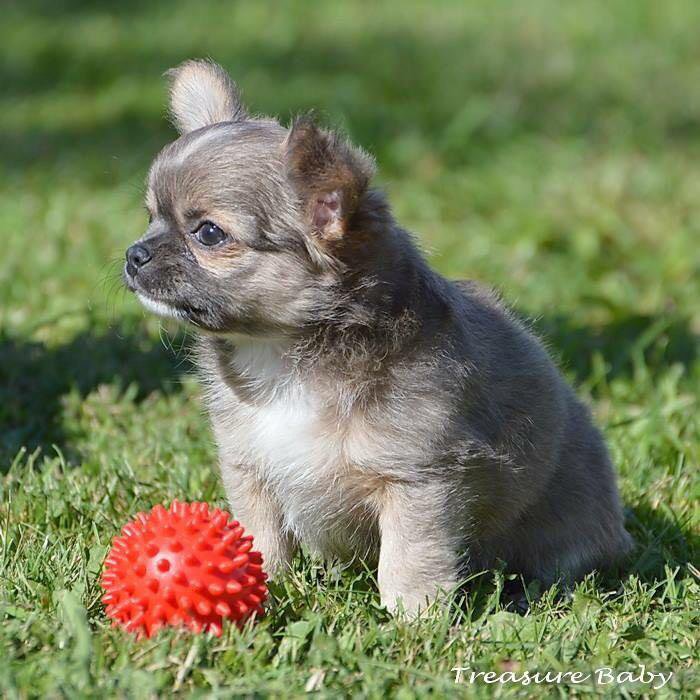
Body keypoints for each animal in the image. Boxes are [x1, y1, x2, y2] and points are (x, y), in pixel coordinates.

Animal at [126, 63, 636, 616]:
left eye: (209, 233)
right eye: (150, 217)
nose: (134, 254)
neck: (286, 355)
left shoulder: (418, 480)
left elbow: (410, 555)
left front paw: (411, 618)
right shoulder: (250, 466)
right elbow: (259, 538)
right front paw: (263, 587)